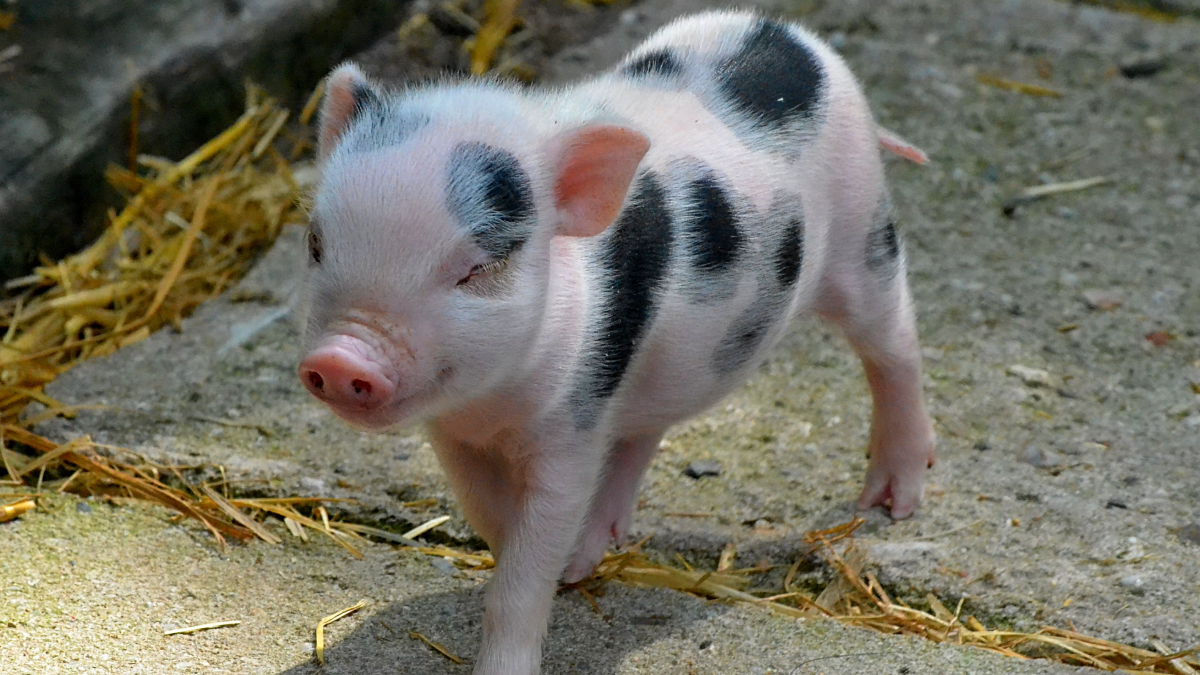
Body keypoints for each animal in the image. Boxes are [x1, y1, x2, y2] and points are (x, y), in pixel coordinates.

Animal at [298, 10, 935, 674]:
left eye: (476, 268)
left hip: (863, 229)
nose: (340, 357)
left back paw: (891, 503)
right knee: (643, 430)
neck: (493, 405)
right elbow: (492, 518)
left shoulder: (571, 428)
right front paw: (565, 565)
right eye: (316, 243)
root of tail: (786, 32)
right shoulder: (457, 437)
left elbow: (526, 562)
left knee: (895, 345)